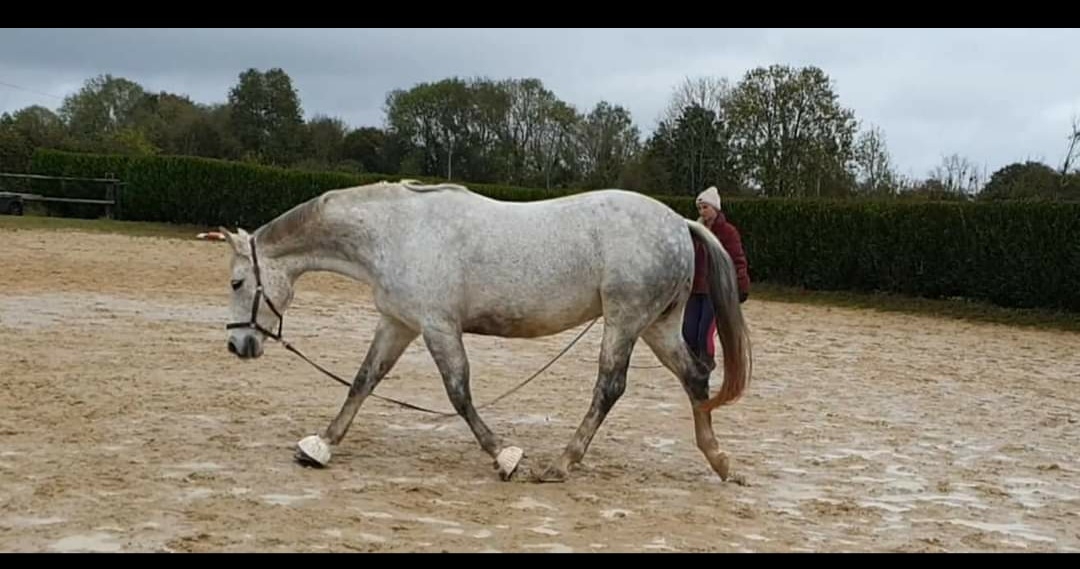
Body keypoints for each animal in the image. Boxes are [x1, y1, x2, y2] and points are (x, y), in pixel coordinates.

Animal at [219, 179, 752, 483]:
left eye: (237, 281)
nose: (237, 344)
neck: (396, 232)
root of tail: (679, 222)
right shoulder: (399, 323)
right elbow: (363, 381)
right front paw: (320, 446)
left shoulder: (437, 326)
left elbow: (458, 394)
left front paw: (506, 456)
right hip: (656, 326)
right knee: (695, 376)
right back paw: (720, 461)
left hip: (623, 321)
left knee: (610, 387)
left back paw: (561, 464)